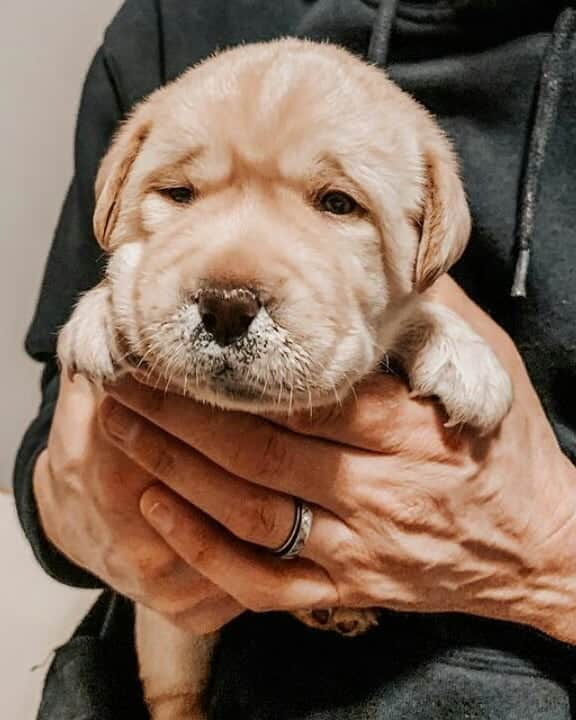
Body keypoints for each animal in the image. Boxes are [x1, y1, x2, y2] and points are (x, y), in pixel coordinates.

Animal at [57, 39, 508, 720]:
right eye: (179, 194)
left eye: (339, 204)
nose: (226, 305)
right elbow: (130, 275)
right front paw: (99, 318)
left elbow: (415, 311)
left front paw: (465, 357)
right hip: (171, 635)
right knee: (174, 695)